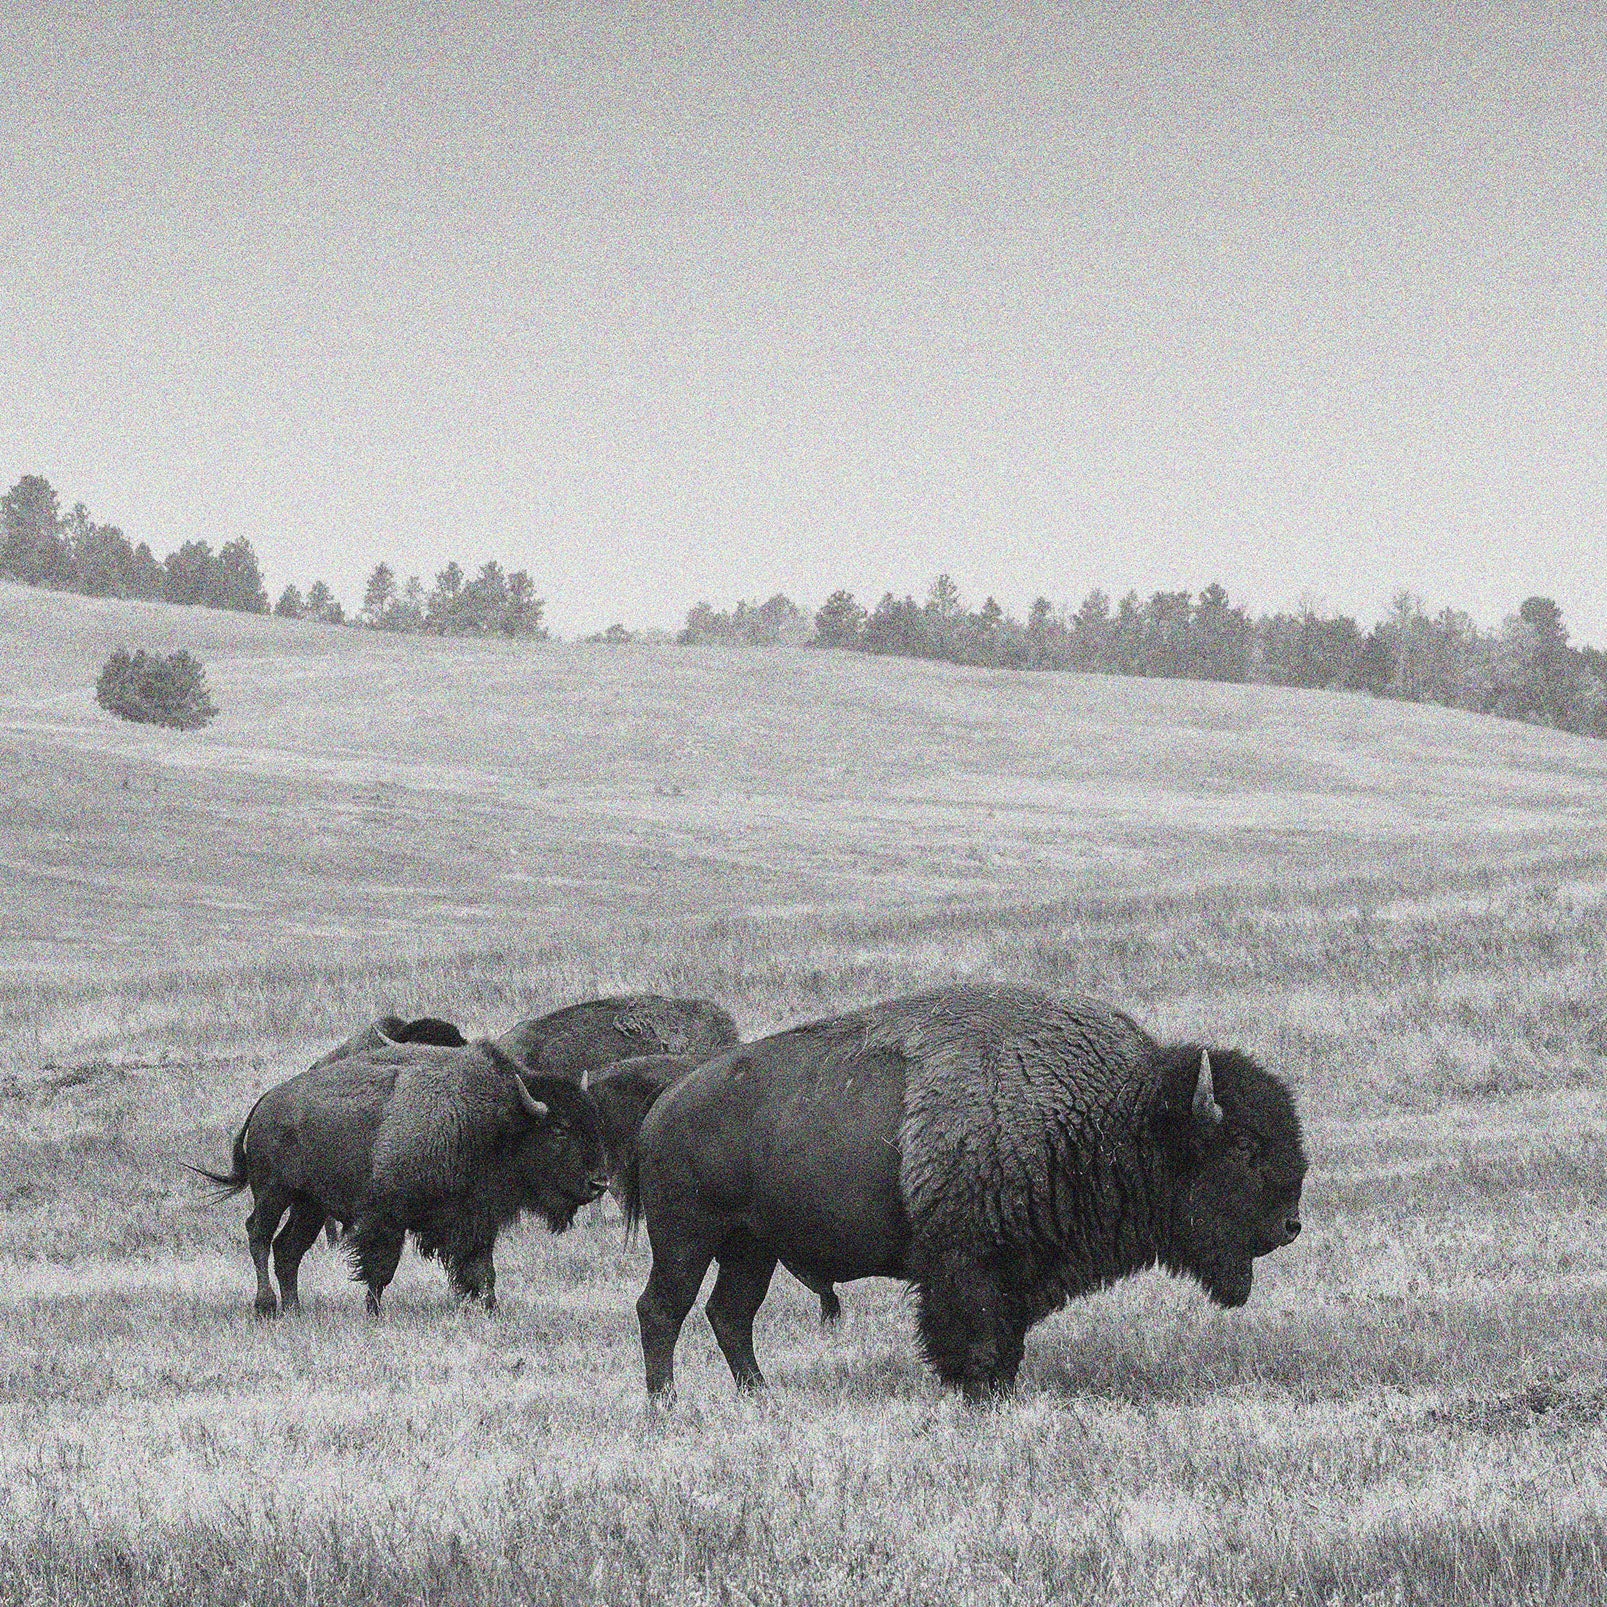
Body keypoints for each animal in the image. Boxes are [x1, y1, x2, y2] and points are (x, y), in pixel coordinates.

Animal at [195, 1037, 608, 1315]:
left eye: (593, 1123)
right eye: (559, 1129)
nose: (598, 1183)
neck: (495, 1121)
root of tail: (265, 1103)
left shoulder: (476, 1219)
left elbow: (482, 1268)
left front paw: (490, 1308)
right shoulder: (386, 1218)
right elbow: (381, 1269)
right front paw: (374, 1312)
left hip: (309, 1205)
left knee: (287, 1249)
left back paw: (295, 1309)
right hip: (274, 1192)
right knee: (259, 1235)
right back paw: (266, 1306)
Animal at [624, 984, 1306, 1401]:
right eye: (1244, 1148)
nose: (1290, 1225)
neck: (1113, 1114)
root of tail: (665, 1103)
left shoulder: (1016, 1272)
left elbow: (1008, 1340)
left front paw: (1000, 1392)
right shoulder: (966, 1265)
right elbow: (974, 1337)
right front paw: (979, 1395)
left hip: (751, 1248)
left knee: (730, 1315)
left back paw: (759, 1397)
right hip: (686, 1238)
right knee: (663, 1309)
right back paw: (666, 1405)